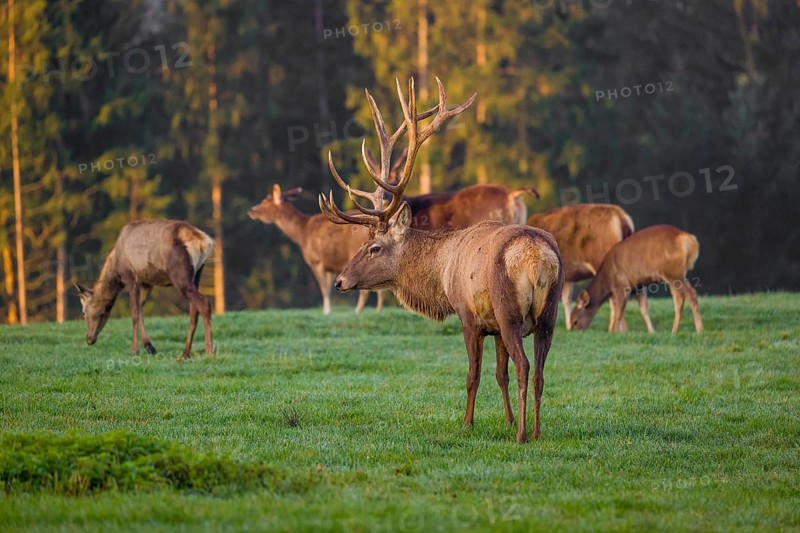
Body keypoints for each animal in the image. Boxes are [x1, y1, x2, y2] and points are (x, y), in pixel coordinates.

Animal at [75, 219, 214, 360]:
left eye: (83, 312)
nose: (89, 339)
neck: (115, 264)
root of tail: (204, 241)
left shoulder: (131, 278)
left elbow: (134, 313)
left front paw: (134, 350)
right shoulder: (147, 283)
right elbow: (140, 308)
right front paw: (150, 347)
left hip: (180, 275)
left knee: (204, 303)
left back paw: (209, 350)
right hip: (197, 274)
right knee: (193, 312)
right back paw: (185, 353)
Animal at [247, 185, 383, 314]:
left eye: (265, 201)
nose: (251, 211)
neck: (302, 233)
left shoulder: (315, 261)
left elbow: (324, 288)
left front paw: (327, 312)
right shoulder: (330, 266)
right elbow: (329, 287)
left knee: (367, 289)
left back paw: (359, 312)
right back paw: (377, 310)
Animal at [319, 77, 564, 443]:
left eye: (373, 247)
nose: (340, 281)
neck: (442, 272)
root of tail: (537, 259)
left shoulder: (469, 316)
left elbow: (474, 375)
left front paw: (467, 423)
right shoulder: (492, 324)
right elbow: (499, 373)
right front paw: (506, 420)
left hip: (510, 311)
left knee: (524, 366)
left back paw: (522, 435)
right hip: (549, 314)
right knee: (539, 373)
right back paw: (534, 431)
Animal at [570, 224, 704, 334]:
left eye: (575, 321)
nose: (572, 331)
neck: (607, 278)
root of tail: (689, 240)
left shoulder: (622, 285)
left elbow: (618, 312)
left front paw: (613, 332)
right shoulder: (639, 285)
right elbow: (643, 309)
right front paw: (652, 332)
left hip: (673, 273)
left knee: (690, 294)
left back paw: (699, 330)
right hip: (675, 275)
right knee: (679, 299)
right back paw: (674, 331)